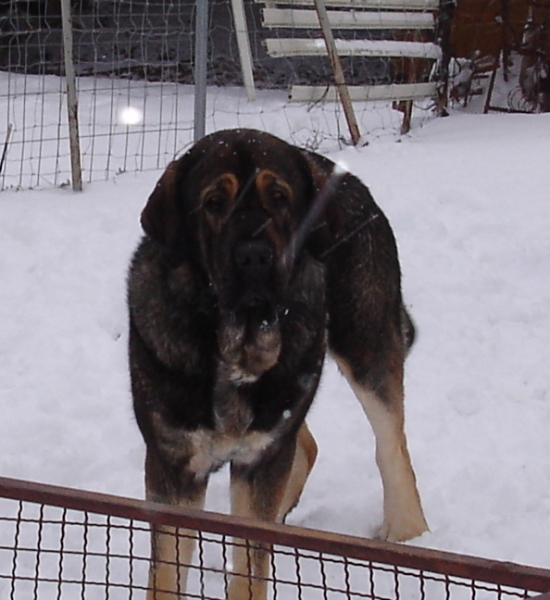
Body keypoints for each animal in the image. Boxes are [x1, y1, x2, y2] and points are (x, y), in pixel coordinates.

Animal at [127, 129, 430, 596]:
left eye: (280, 198)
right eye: (214, 202)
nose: (255, 256)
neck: (235, 347)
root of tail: (344, 177)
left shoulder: (259, 460)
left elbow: (249, 568)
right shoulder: (174, 466)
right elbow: (166, 574)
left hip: (362, 343)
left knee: (391, 448)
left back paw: (404, 538)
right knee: (307, 447)